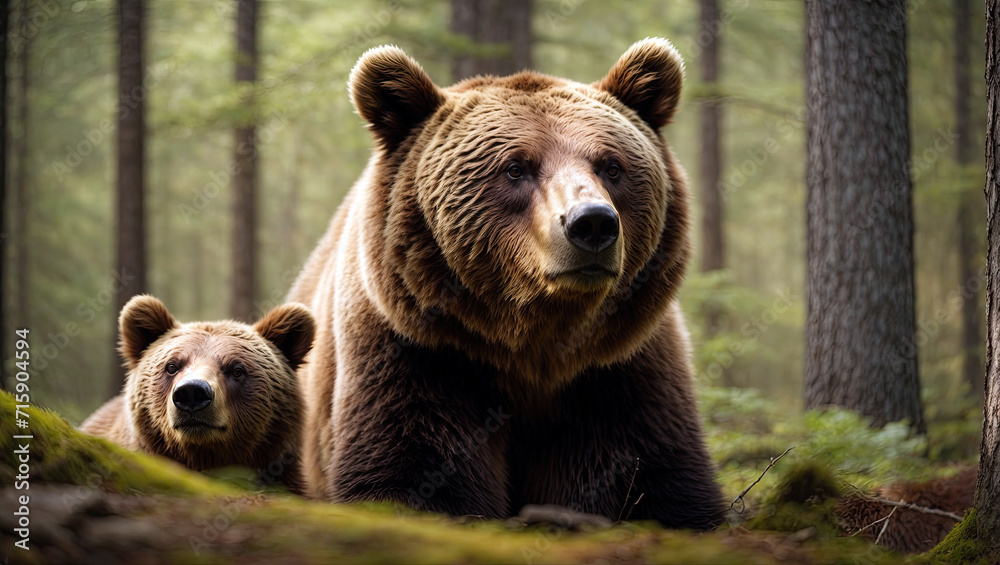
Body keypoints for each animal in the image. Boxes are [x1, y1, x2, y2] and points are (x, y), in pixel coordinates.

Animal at [288, 38, 725, 528]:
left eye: (611, 166)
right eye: (516, 168)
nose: (592, 223)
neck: (534, 348)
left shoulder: (621, 371)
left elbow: (650, 477)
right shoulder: (417, 354)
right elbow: (414, 472)